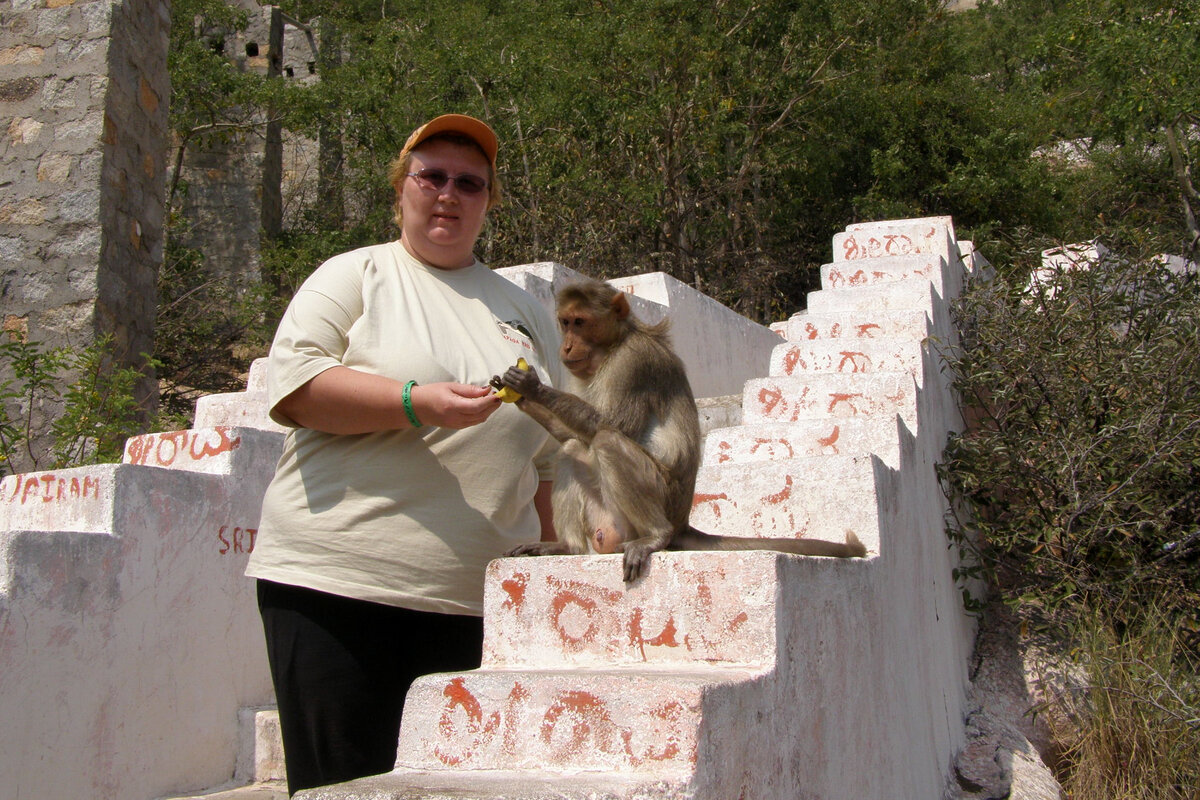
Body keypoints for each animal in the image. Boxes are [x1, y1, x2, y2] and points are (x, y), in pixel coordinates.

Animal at [492, 280, 868, 582]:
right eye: (565, 323)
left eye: (580, 322)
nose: (566, 346)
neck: (614, 344)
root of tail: (683, 520)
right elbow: (570, 435)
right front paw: (518, 397)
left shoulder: (634, 363)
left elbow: (609, 426)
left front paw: (532, 387)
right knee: (571, 449)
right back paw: (567, 547)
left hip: (662, 497)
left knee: (607, 442)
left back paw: (655, 536)